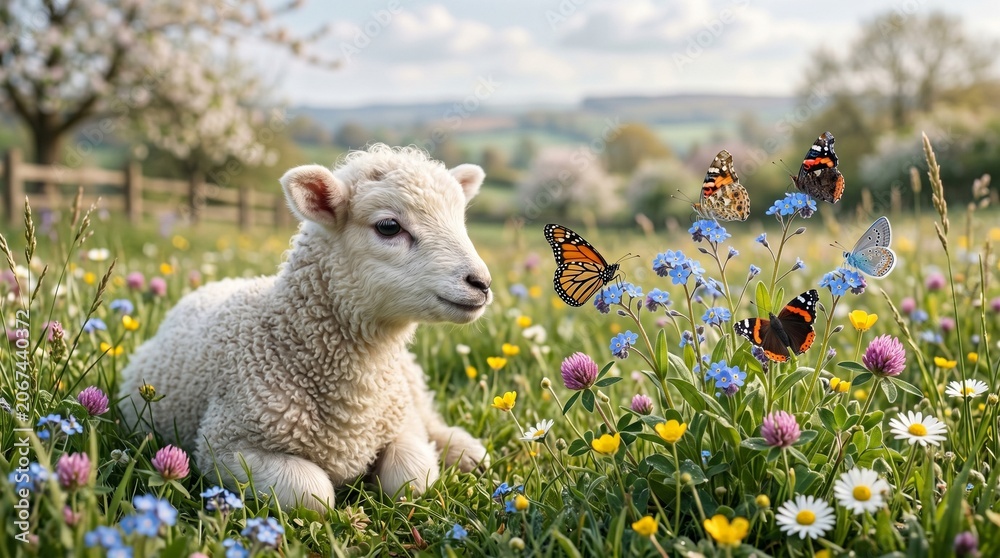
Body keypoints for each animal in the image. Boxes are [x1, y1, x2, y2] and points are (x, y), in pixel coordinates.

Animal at [117, 144, 493, 511]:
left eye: (460, 221)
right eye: (388, 226)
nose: (482, 283)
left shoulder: (403, 424)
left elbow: (411, 480)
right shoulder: (223, 447)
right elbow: (314, 493)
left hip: (411, 384)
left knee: (431, 419)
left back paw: (468, 452)